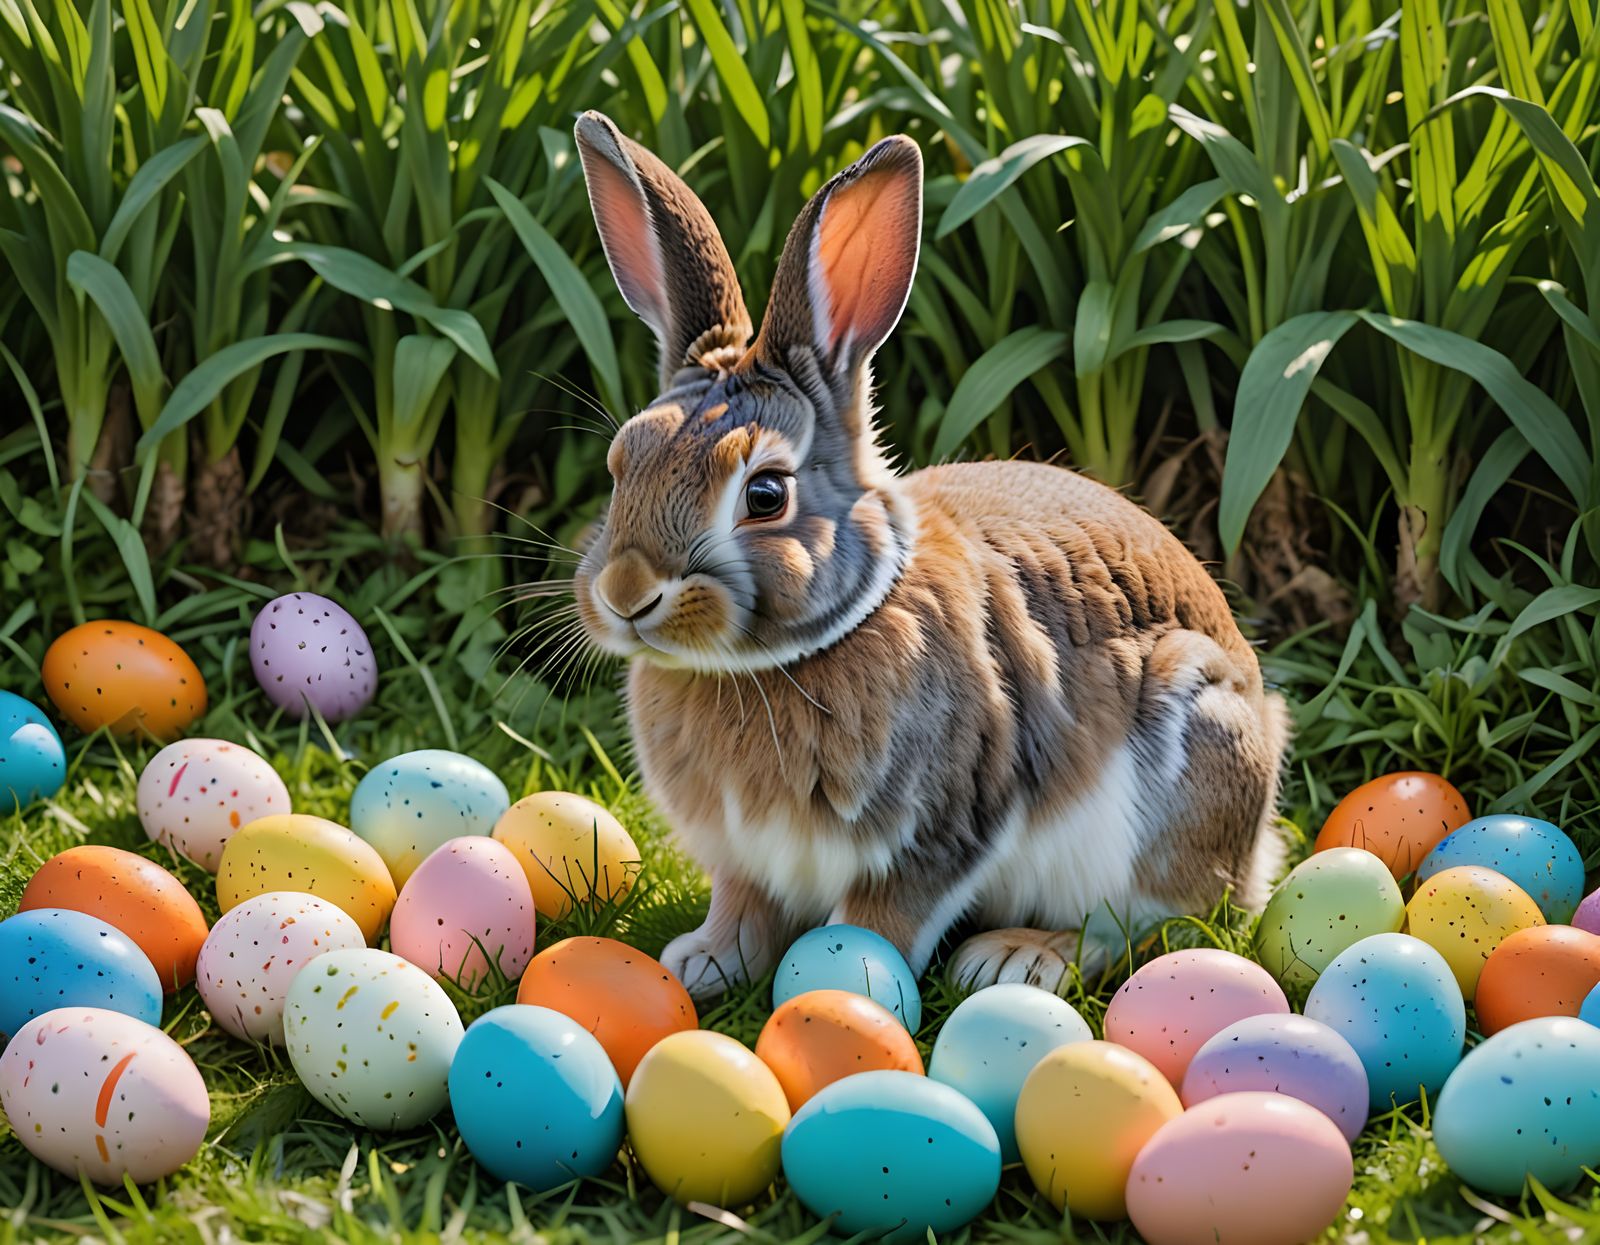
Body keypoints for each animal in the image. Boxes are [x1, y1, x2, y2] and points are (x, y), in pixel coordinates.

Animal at [568, 110, 1289, 1000]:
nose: (627, 592)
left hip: (1190, 747)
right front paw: (703, 962)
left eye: (765, 494)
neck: (784, 659)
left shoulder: (941, 828)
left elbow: (882, 918)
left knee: (1153, 920)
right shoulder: (747, 859)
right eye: (622, 463)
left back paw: (1021, 955)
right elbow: (744, 907)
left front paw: (847, 988)